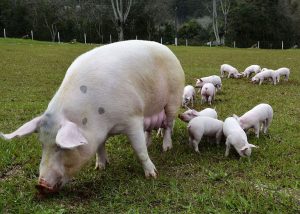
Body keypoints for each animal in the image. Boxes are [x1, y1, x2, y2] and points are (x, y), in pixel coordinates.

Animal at [0, 40, 185, 194]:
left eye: (61, 147)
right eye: (42, 144)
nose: (40, 184)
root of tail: (168, 50)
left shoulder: (133, 118)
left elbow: (139, 150)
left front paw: (152, 175)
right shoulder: (98, 133)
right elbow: (100, 147)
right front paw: (100, 167)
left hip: (173, 100)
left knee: (168, 125)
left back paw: (166, 148)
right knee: (151, 130)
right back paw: (149, 142)